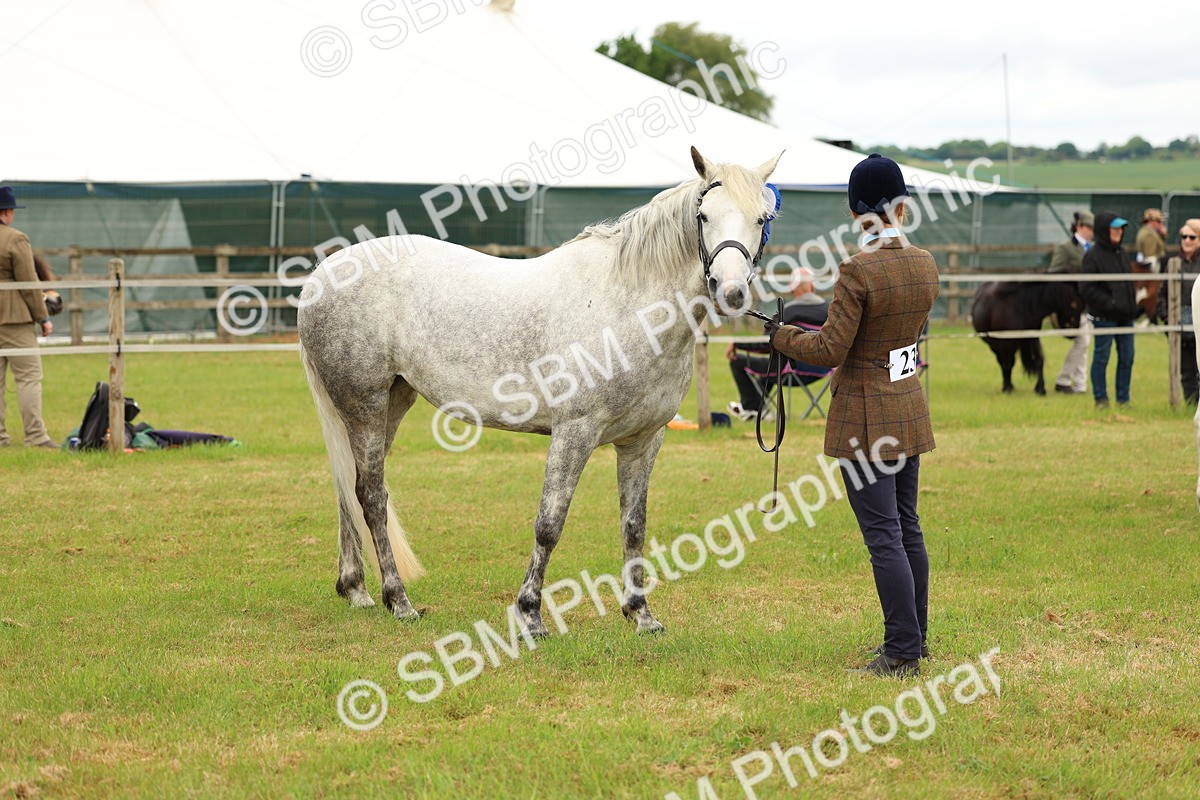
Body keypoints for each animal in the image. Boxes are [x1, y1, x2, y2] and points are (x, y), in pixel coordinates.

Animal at [297, 147, 782, 636]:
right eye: (703, 216)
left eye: (762, 218)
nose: (731, 292)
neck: (628, 307)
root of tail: (322, 275)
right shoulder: (574, 433)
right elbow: (550, 523)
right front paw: (530, 615)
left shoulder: (643, 441)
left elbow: (633, 524)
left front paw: (641, 614)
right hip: (365, 405)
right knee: (371, 496)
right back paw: (398, 600)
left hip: (391, 403)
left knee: (350, 488)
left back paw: (356, 590)